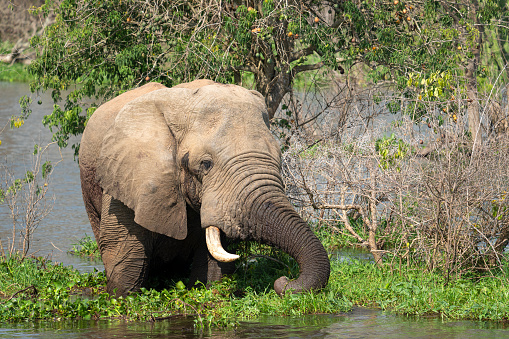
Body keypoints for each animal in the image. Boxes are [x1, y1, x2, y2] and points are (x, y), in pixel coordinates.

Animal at [79, 79, 330, 298]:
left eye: (278, 159)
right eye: (205, 164)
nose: (284, 281)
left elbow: (212, 267)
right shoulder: (127, 181)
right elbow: (125, 261)